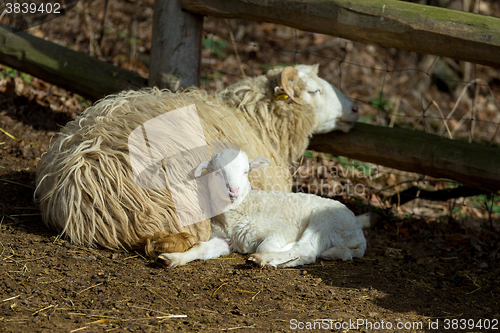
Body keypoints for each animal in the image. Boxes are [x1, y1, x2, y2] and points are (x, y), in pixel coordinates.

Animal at [158, 148, 370, 268]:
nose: (234, 190)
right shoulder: (224, 239)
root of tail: (359, 237)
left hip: (326, 222)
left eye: (246, 172)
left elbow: (266, 245)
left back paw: (263, 259)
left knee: (307, 251)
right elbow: (201, 247)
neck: (243, 207)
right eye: (217, 173)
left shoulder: (282, 230)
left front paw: (270, 253)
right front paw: (172, 258)